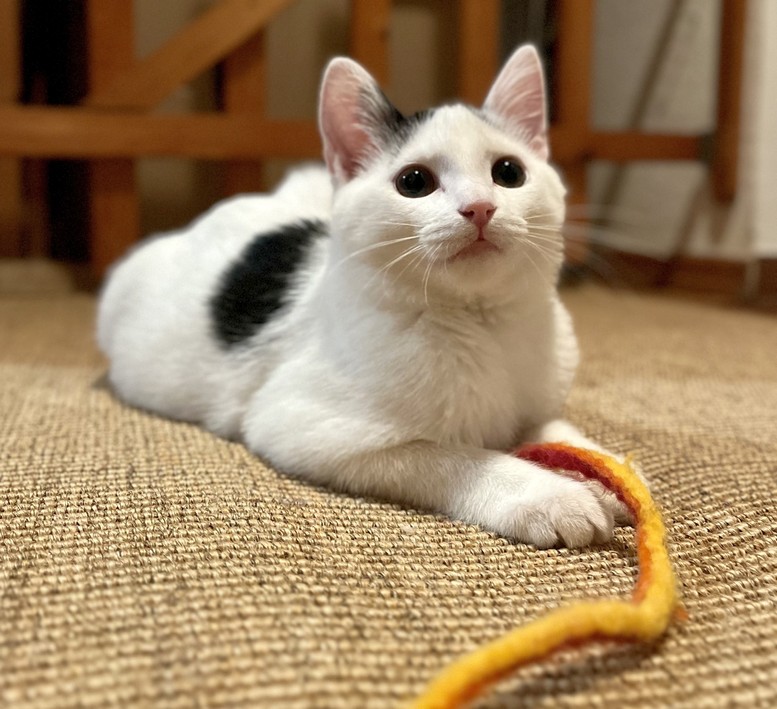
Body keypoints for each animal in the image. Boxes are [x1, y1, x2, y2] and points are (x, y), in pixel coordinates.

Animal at [97, 45, 631, 549]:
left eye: (509, 173)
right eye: (414, 182)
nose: (480, 207)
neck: (482, 323)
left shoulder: (537, 401)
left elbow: (558, 431)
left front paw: (603, 474)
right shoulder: (297, 424)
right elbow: (453, 457)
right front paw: (546, 493)